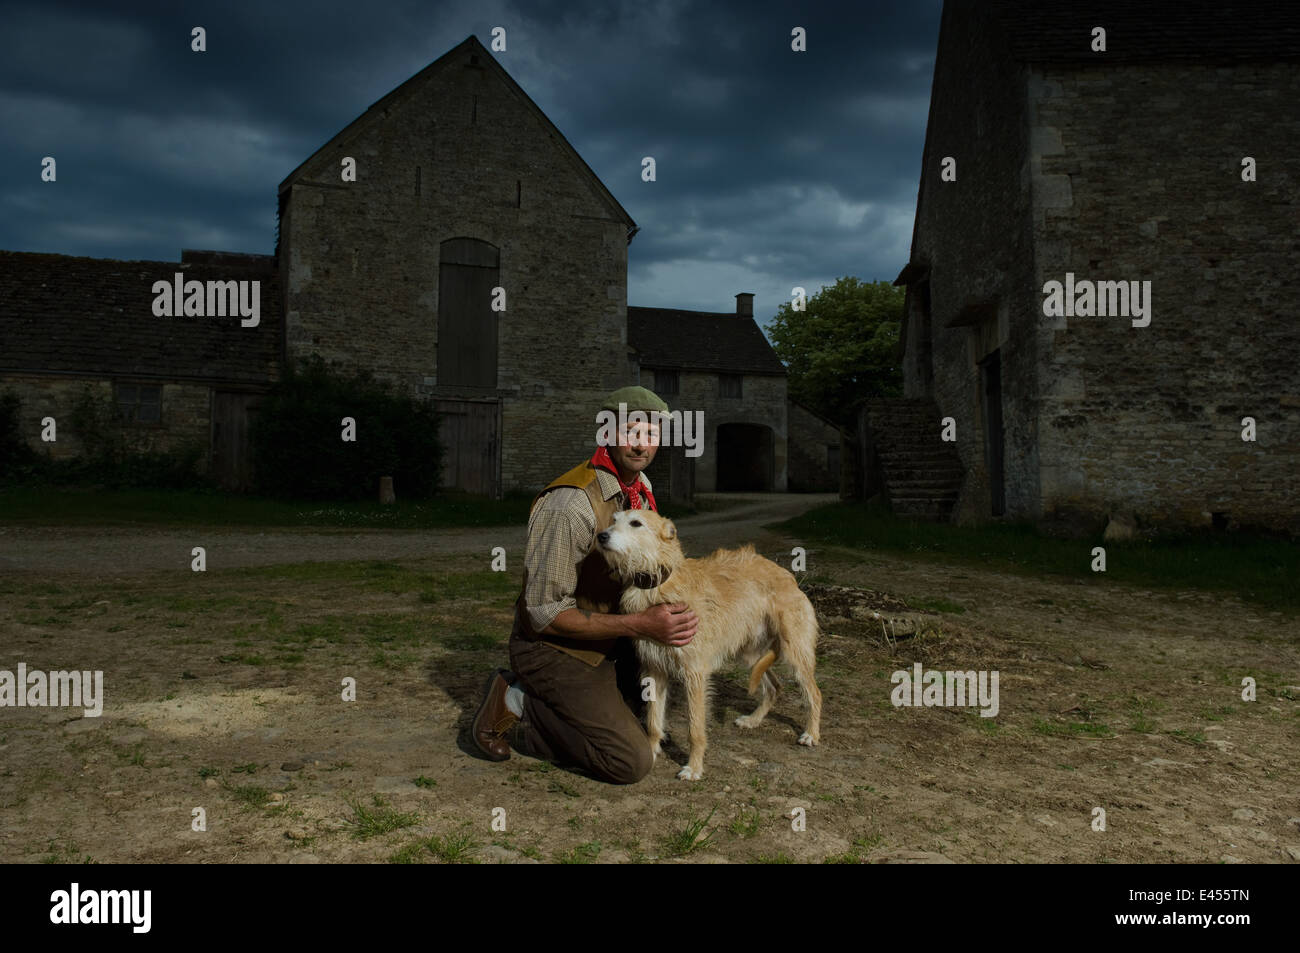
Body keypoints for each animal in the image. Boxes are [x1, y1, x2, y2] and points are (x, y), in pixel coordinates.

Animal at [592, 509, 816, 774]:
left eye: (636, 523)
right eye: (614, 520)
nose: (601, 536)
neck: (658, 583)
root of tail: (786, 575)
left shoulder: (695, 673)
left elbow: (695, 730)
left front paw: (694, 768)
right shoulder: (654, 669)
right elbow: (653, 721)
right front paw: (653, 751)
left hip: (795, 653)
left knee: (814, 694)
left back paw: (812, 733)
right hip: (751, 654)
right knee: (774, 687)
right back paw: (753, 720)